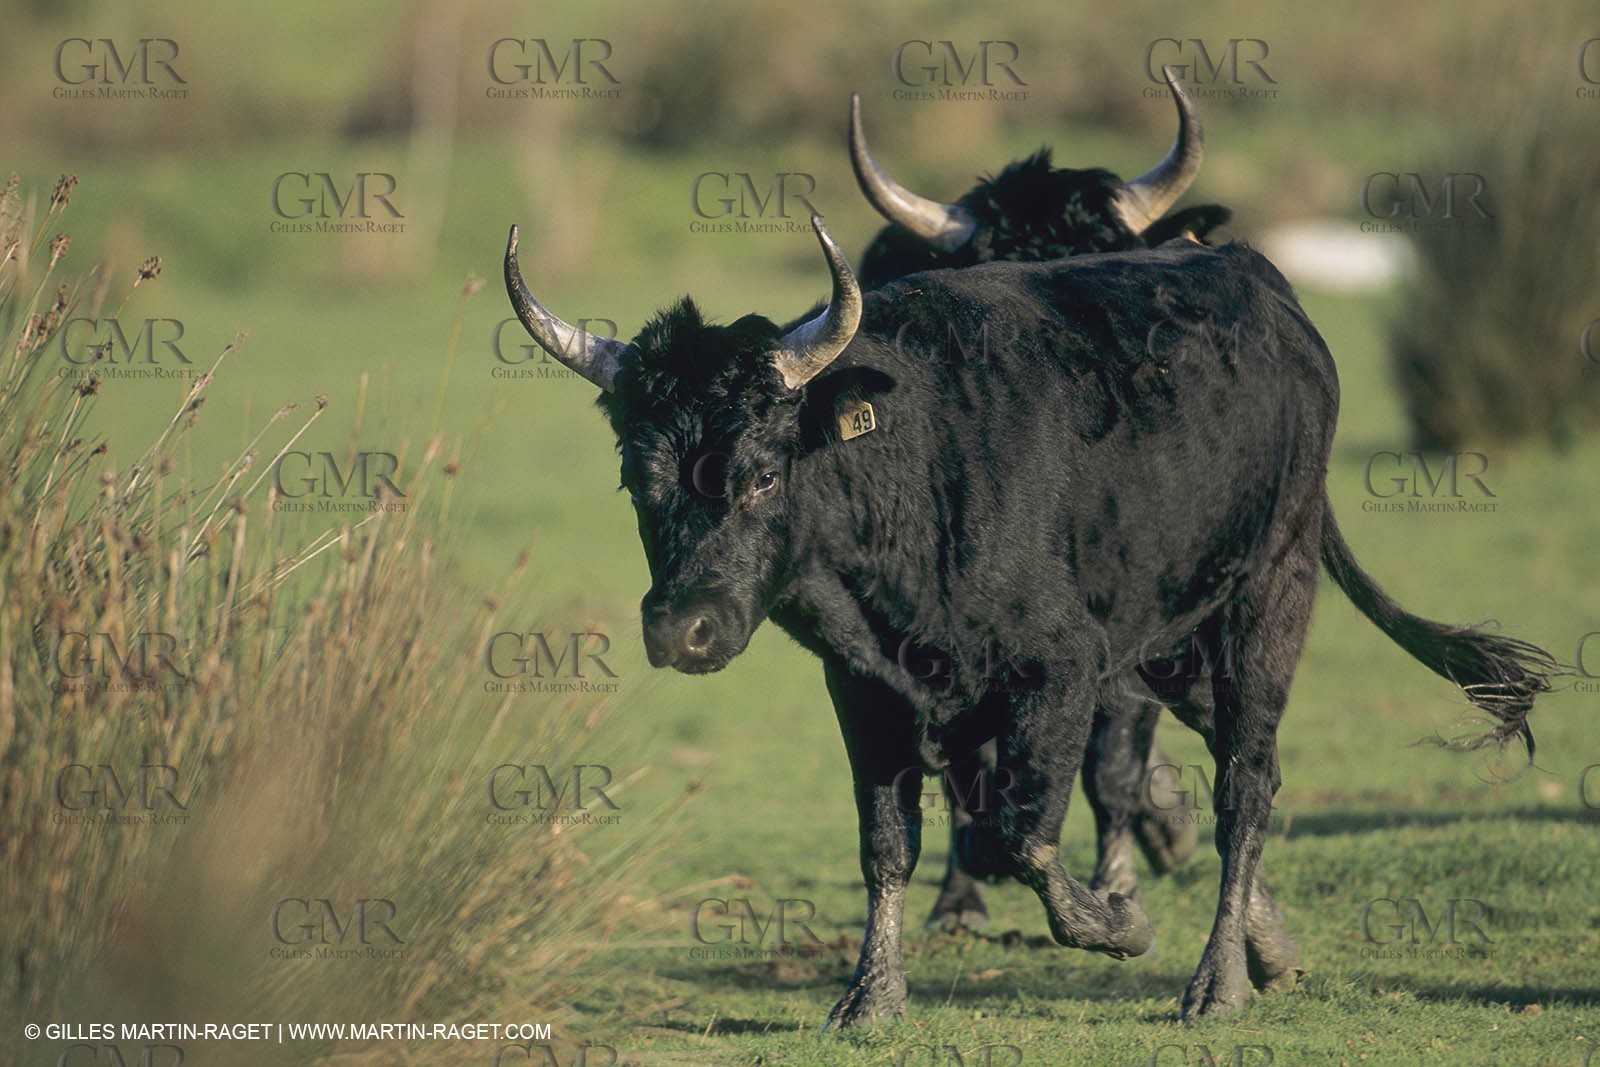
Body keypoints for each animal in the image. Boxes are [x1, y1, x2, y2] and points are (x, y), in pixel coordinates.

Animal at [503, 216, 1553, 1025]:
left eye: (762, 474)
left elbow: (1023, 830)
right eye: (636, 478)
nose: (682, 629)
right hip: (1172, 635)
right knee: (1235, 756)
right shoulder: (864, 687)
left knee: (1246, 784)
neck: (914, 473)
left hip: (1269, 593)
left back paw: (1217, 983)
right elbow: (889, 843)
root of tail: (1259, 282)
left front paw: (1120, 923)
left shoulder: (1061, 668)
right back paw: (1274, 947)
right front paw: (870, 998)